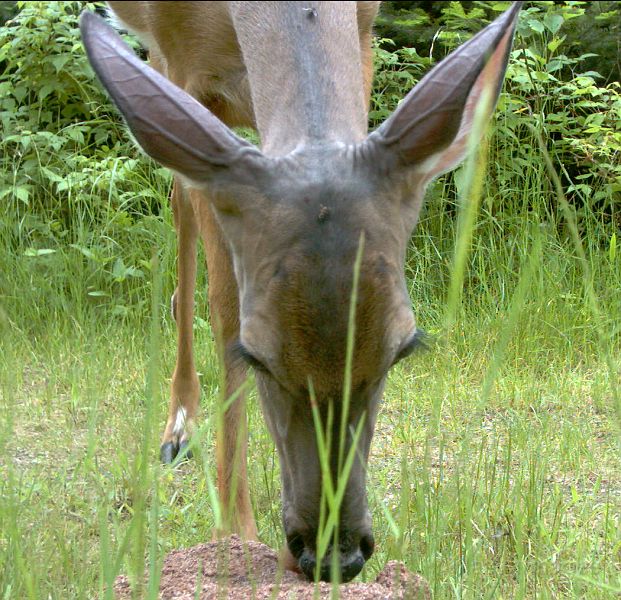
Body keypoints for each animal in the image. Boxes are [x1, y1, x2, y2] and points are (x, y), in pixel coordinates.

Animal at [80, 0, 520, 580]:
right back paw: (178, 428)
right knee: (179, 211)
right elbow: (224, 302)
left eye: (401, 351)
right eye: (256, 357)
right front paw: (235, 534)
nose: (334, 555)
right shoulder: (187, 68)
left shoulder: (363, 39)